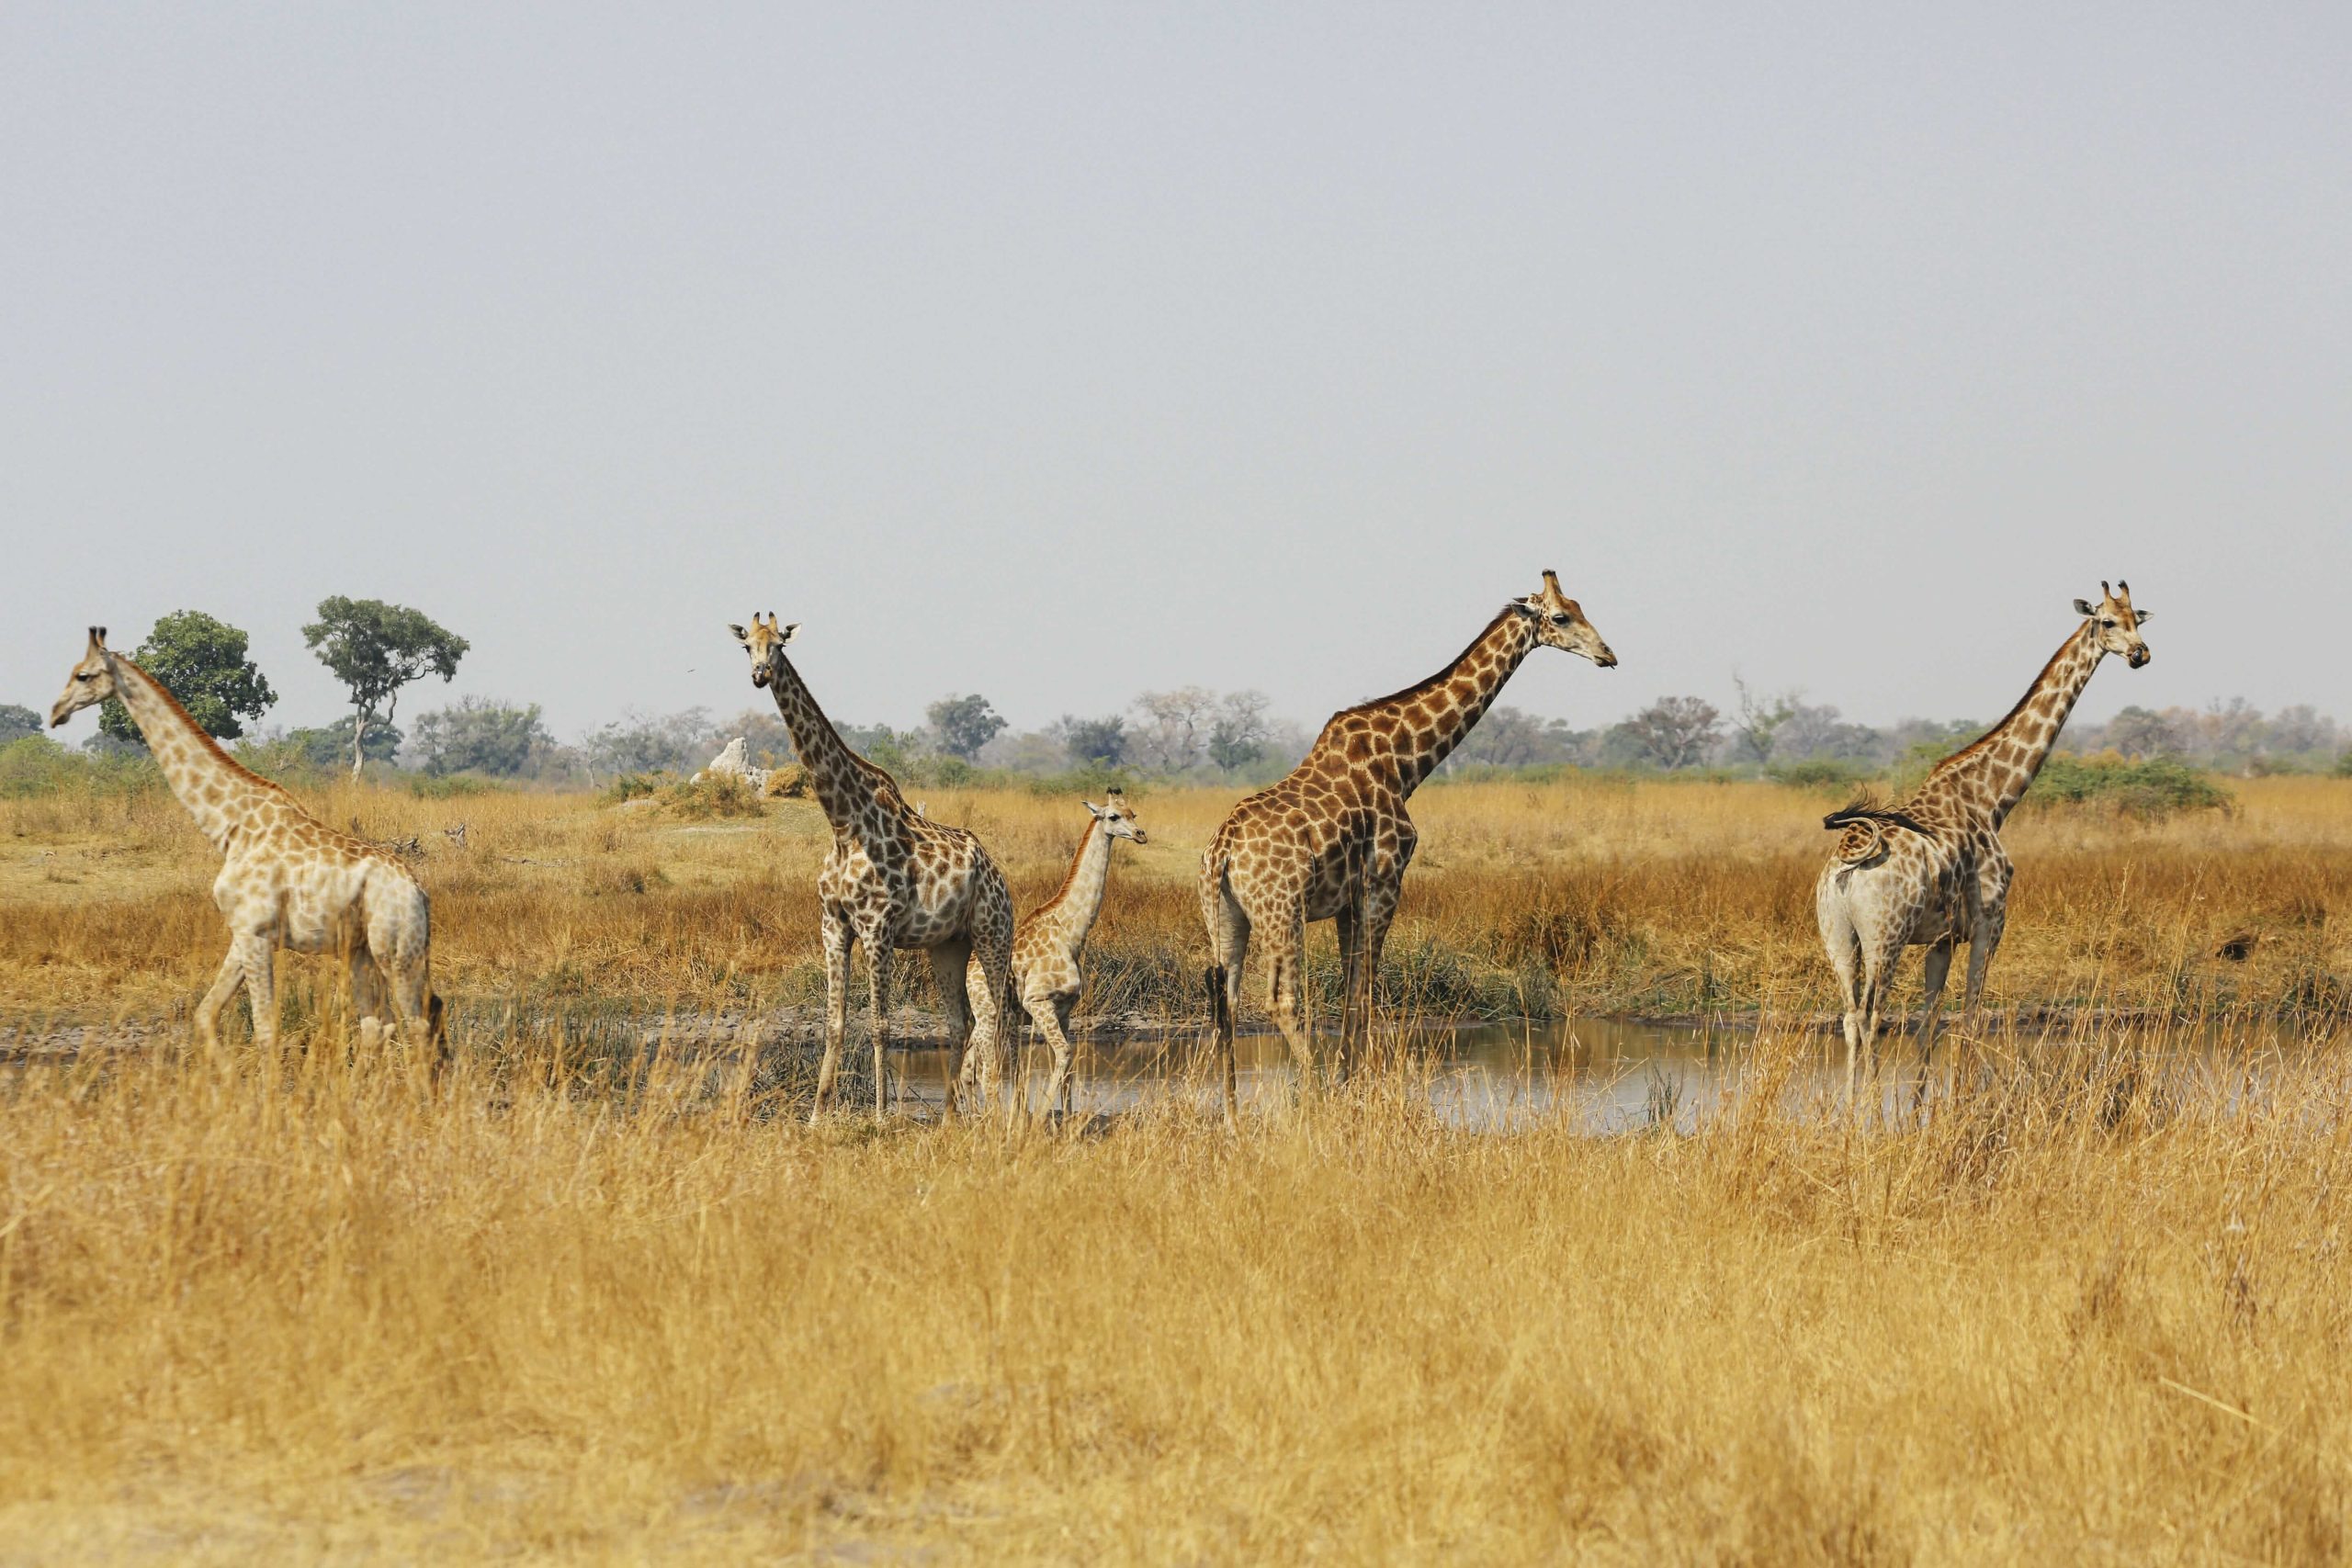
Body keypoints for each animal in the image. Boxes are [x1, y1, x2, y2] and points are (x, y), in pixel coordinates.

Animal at [46, 627, 443, 1058]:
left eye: (83, 675)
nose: (55, 712)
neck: (230, 828)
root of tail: (420, 892)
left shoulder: (256, 932)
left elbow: (266, 1030)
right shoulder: (243, 931)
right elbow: (205, 1015)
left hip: (396, 950)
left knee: (418, 1023)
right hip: (362, 950)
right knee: (379, 1025)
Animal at [730, 613, 1016, 1122]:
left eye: (779, 644)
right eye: (748, 646)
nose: (760, 675)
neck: (843, 824)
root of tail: (996, 874)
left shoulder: (877, 926)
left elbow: (881, 1025)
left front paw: (882, 1116)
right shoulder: (833, 925)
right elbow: (835, 1022)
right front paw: (816, 1116)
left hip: (993, 933)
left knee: (994, 1020)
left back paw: (993, 1115)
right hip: (948, 945)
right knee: (960, 1021)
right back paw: (948, 1117)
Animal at [1009, 791, 1148, 1117]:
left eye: (1133, 813)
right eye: (1113, 816)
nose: (1141, 834)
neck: (1069, 931)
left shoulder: (1066, 1009)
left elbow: (1069, 1065)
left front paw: (1068, 1117)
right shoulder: (1037, 1002)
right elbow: (1063, 1055)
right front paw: (1042, 1115)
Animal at [1198, 571, 1616, 1118]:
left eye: (1582, 606)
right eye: (1562, 617)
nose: (1609, 655)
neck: (1407, 762)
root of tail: (1222, 852)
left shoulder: (1349, 900)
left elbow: (1352, 993)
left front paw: (1348, 1084)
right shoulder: (1385, 882)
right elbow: (1364, 994)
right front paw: (1347, 1092)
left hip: (1226, 916)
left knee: (1224, 1001)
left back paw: (1231, 1113)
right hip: (1281, 909)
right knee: (1281, 1000)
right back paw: (1312, 1093)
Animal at [1815, 581, 2154, 1087]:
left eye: (2139, 619)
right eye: (2108, 621)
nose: (2140, 654)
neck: (1993, 798)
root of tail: (1849, 860)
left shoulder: (1941, 939)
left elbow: (1929, 1025)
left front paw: (1923, 1104)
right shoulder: (1990, 922)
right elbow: (1971, 1017)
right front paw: (1965, 1097)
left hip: (1838, 938)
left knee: (1851, 1017)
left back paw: (1850, 1102)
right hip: (1885, 937)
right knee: (1873, 1017)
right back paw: (1870, 1103)